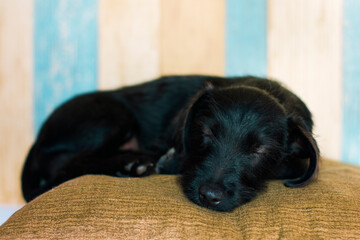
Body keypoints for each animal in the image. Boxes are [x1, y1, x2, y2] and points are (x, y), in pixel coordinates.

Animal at [21, 75, 320, 212]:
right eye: (206, 134)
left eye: (260, 150)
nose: (209, 196)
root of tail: (37, 141)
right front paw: (167, 161)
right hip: (113, 116)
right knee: (64, 166)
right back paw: (133, 164)